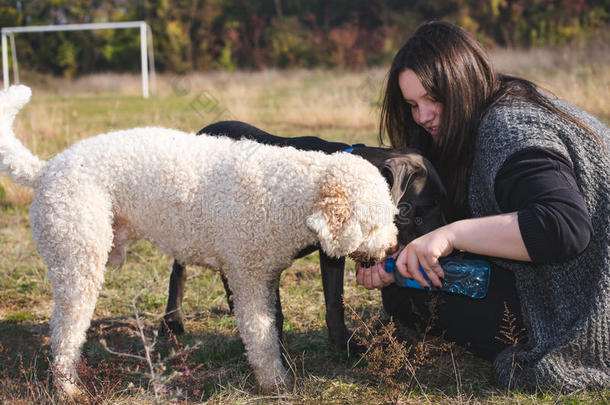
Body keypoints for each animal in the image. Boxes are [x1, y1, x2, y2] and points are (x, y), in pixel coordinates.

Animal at [0, 85, 396, 398]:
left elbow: (274, 324)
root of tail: (45, 169)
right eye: (373, 223)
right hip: (77, 261)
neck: (288, 191)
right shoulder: (246, 278)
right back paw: (68, 388)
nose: (392, 247)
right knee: (65, 332)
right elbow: (261, 333)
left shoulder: (264, 275)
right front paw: (275, 382)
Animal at [157, 120, 444, 350]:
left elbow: (334, 302)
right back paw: (172, 321)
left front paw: (342, 346)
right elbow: (275, 313)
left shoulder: (330, 254)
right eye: (424, 208)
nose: (443, 255)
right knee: (178, 271)